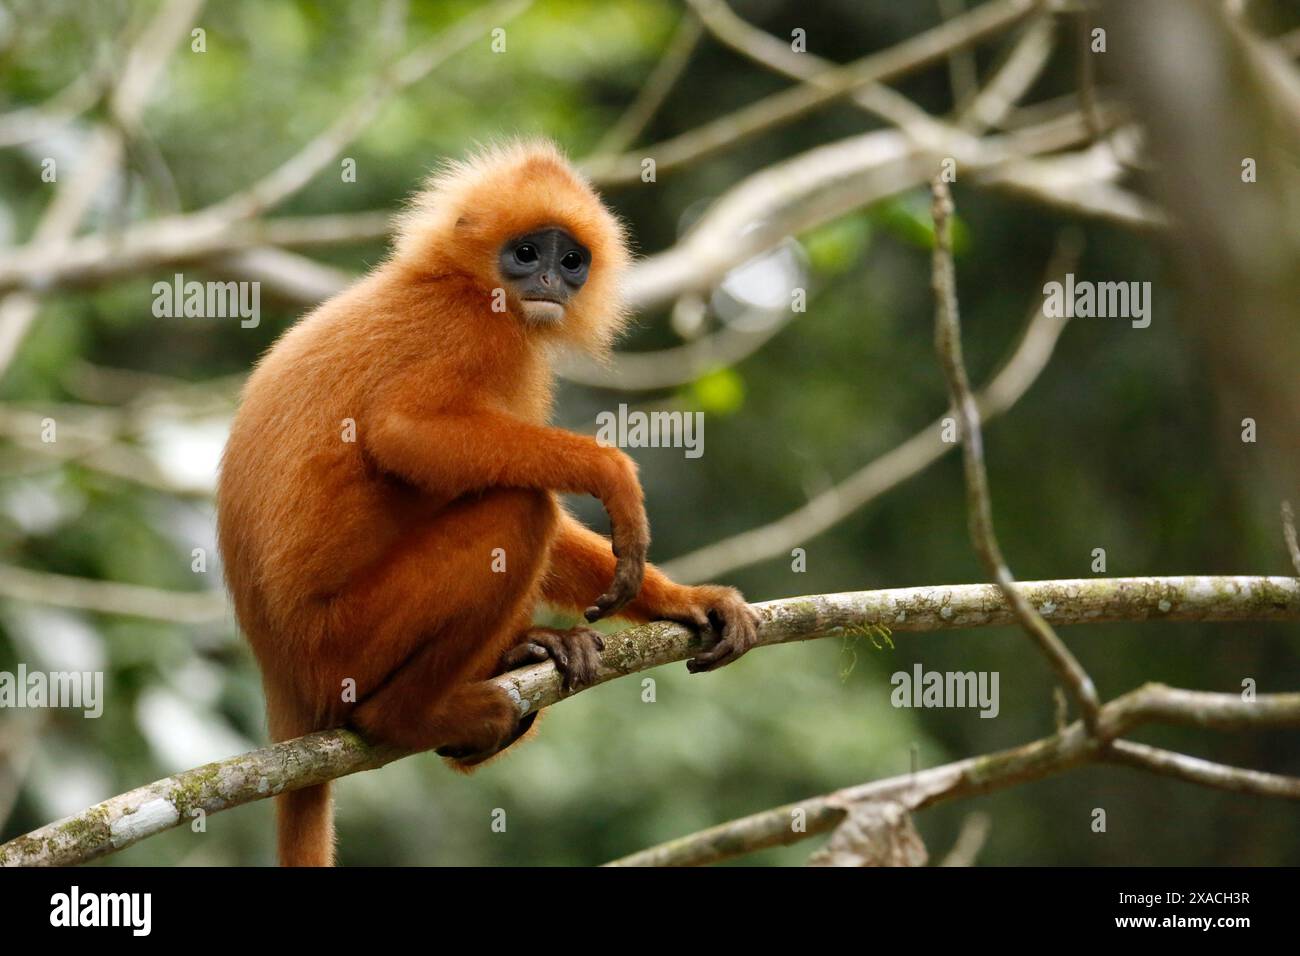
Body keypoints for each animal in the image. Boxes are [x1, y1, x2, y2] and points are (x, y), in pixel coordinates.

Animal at [214, 140, 759, 868]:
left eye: (571, 259)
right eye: (526, 254)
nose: (552, 280)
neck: (457, 284)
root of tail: (282, 681)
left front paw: (684, 599)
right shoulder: (472, 331)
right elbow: (404, 432)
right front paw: (612, 474)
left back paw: (526, 653)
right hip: (342, 648)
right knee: (517, 509)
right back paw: (408, 716)